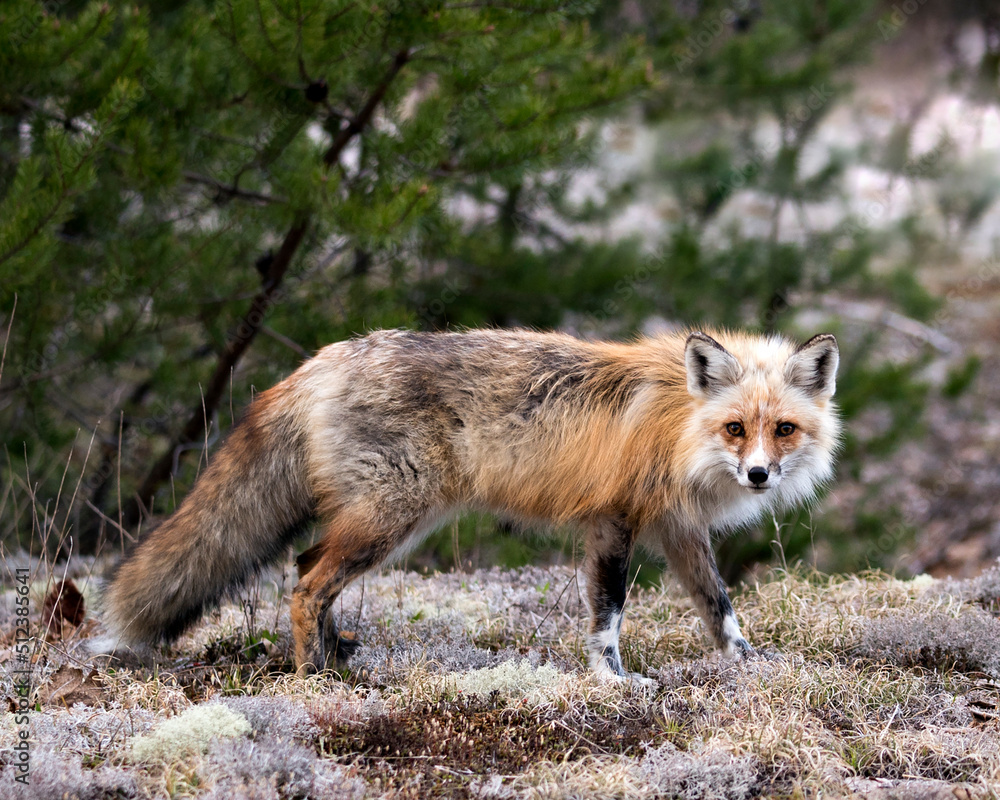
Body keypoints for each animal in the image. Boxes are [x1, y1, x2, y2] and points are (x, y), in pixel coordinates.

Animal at [103, 326, 836, 680]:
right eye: (736, 428)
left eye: (783, 429)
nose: (760, 475)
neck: (678, 426)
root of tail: (321, 360)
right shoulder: (613, 520)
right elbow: (608, 615)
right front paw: (615, 682)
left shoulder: (678, 527)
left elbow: (720, 607)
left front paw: (748, 667)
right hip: (391, 517)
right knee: (307, 585)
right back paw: (315, 676)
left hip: (388, 520)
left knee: (306, 568)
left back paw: (335, 654)